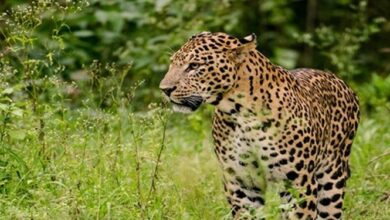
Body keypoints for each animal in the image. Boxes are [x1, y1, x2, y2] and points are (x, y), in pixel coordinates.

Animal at [158, 31, 360, 219]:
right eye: (172, 63)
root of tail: (339, 80)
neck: (241, 115)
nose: (165, 89)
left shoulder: (299, 184)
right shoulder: (241, 184)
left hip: (332, 179)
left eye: (194, 66)